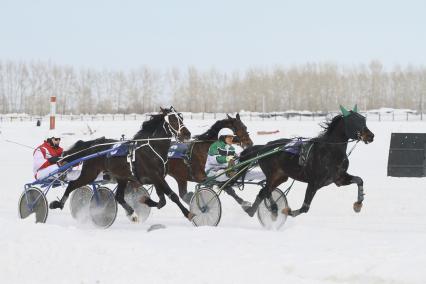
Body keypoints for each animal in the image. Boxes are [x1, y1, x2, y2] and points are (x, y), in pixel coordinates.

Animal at [48, 107, 193, 221]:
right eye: (173, 119)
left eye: (181, 118)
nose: (187, 134)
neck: (152, 148)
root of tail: (94, 145)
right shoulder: (155, 176)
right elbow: (172, 196)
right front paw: (189, 214)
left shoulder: (158, 178)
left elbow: (162, 201)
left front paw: (146, 201)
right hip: (90, 173)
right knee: (72, 185)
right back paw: (58, 204)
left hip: (121, 177)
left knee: (119, 197)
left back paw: (132, 213)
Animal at [241, 105, 374, 219]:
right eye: (353, 121)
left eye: (363, 120)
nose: (371, 136)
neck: (330, 150)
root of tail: (264, 147)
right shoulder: (313, 183)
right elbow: (305, 208)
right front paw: (286, 211)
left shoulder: (338, 179)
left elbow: (359, 180)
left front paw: (358, 204)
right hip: (272, 174)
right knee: (267, 190)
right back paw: (273, 208)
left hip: (281, 177)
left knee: (263, 192)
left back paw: (250, 211)